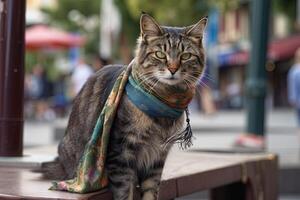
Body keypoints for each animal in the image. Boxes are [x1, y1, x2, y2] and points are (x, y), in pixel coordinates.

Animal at [42, 13, 206, 199]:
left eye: (185, 56)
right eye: (160, 54)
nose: (172, 69)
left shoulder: (156, 159)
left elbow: (150, 190)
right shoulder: (121, 153)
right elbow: (124, 192)